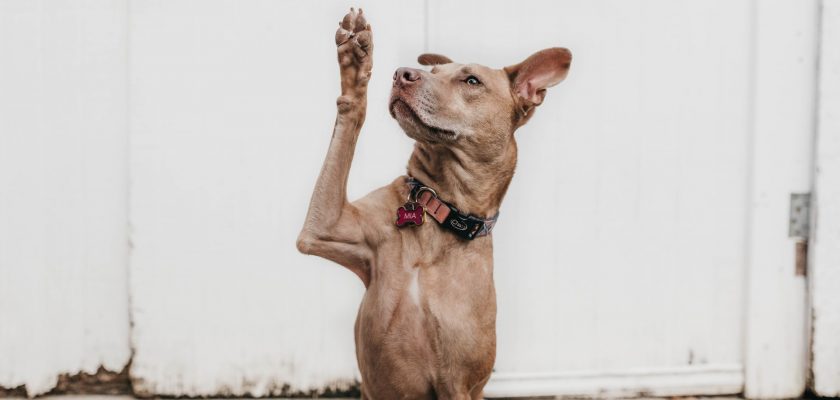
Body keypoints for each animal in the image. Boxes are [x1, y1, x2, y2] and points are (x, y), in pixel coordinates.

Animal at [296, 7, 572, 398]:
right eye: (434, 71)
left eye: (471, 80)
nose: (402, 73)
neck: (437, 210)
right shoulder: (323, 228)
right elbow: (350, 115)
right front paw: (355, 64)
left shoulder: (457, 383)